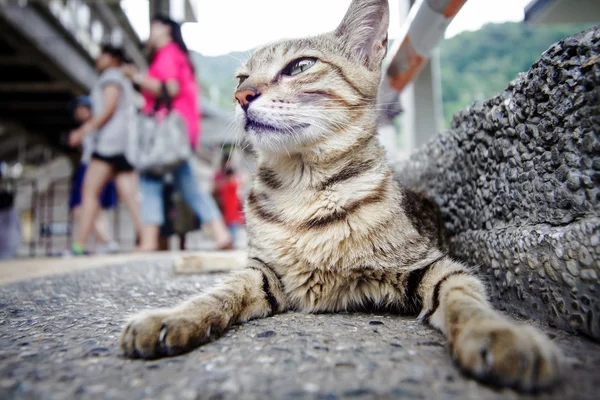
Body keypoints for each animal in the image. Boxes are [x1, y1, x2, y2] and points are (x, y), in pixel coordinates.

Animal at [120, 0, 564, 394]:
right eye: (240, 78)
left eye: (300, 66)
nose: (242, 97)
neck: (301, 190)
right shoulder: (264, 270)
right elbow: (220, 291)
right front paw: (175, 316)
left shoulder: (431, 264)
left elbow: (462, 297)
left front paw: (497, 333)